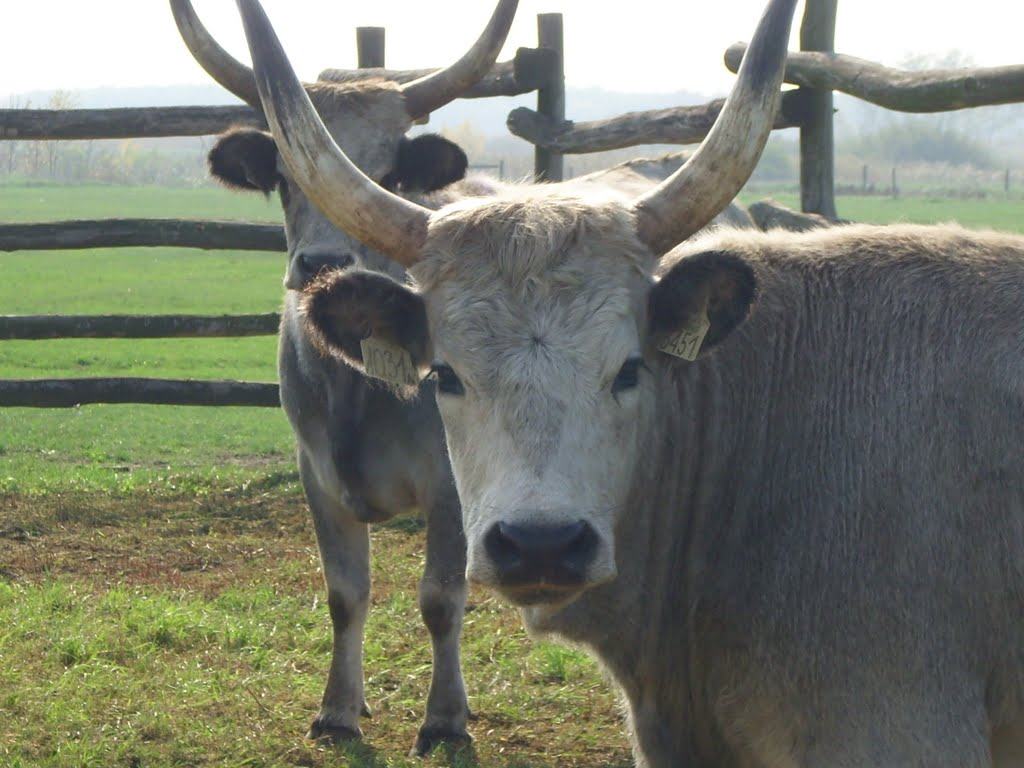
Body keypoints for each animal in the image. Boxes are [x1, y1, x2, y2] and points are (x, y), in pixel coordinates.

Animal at [174, 0, 520, 753]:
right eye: (283, 176)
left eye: (388, 175)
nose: (321, 263)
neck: (359, 377)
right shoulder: (318, 477)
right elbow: (345, 594)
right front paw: (338, 708)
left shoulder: (448, 487)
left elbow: (440, 600)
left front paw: (445, 718)